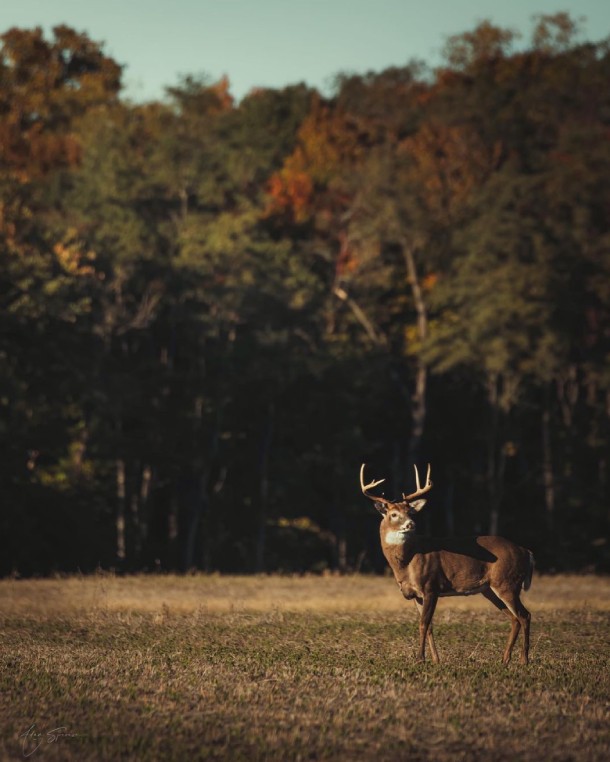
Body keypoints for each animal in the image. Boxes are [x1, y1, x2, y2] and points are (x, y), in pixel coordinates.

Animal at [360, 460, 532, 664]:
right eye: (393, 514)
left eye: (410, 512)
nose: (411, 524)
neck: (407, 562)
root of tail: (525, 551)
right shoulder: (417, 594)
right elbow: (429, 626)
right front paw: (435, 660)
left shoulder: (431, 586)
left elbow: (423, 623)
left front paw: (420, 659)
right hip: (490, 589)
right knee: (514, 619)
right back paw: (505, 660)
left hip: (508, 582)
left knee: (524, 615)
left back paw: (524, 660)